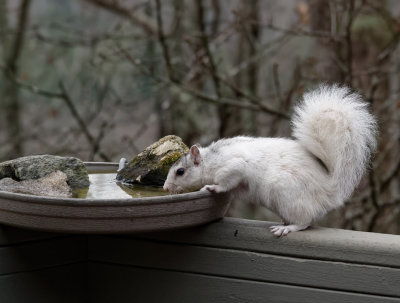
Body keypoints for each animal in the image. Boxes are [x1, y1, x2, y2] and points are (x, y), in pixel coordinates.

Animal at [162, 85, 378, 238]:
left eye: (180, 171)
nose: (165, 188)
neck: (212, 159)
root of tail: (329, 191)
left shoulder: (233, 166)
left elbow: (227, 181)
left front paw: (212, 187)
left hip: (288, 195)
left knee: (304, 222)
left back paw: (288, 228)